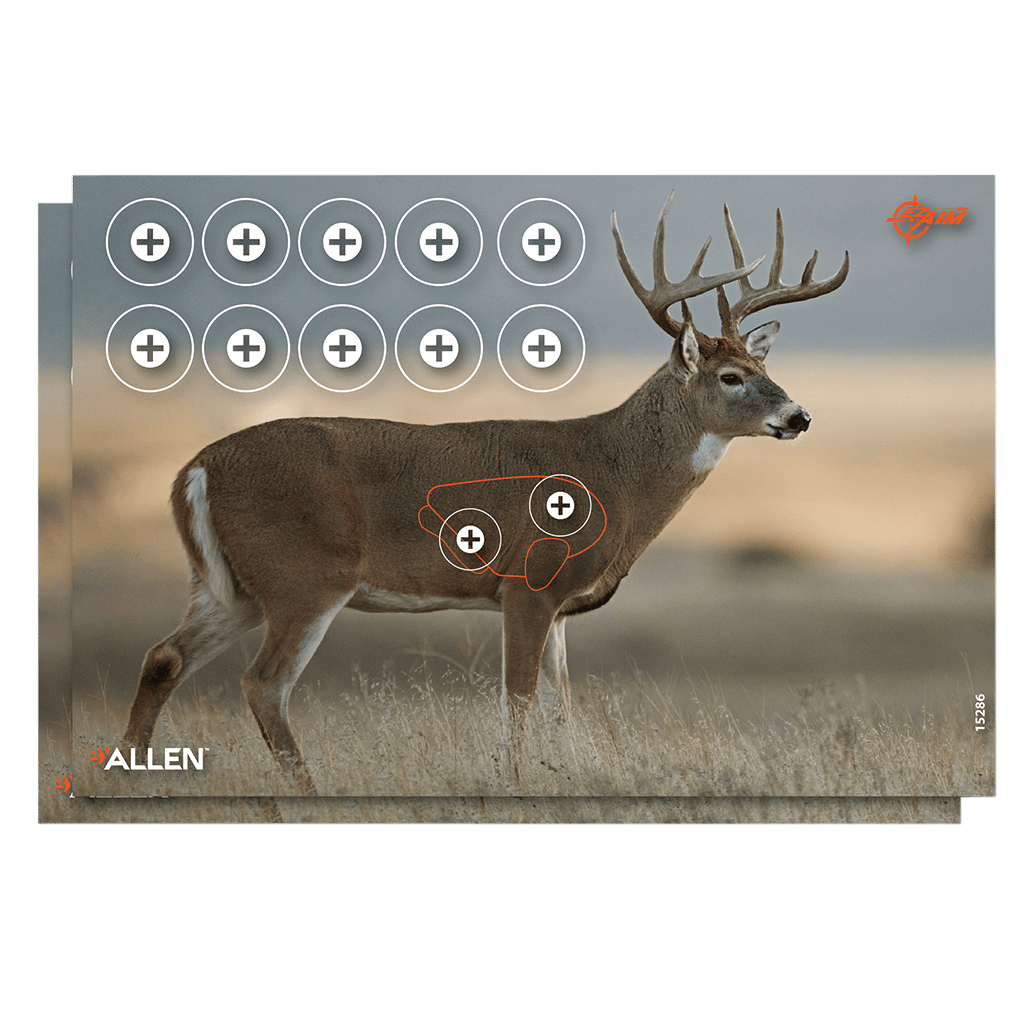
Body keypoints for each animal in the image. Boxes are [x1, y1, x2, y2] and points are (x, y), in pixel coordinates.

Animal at [122, 192, 849, 794]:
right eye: (730, 376)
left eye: (763, 366)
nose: (800, 417)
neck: (614, 472)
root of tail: (195, 468)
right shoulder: (529, 583)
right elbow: (518, 700)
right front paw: (513, 783)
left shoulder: (559, 607)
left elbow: (560, 708)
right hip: (304, 576)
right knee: (263, 683)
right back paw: (307, 794)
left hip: (232, 587)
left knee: (163, 656)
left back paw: (129, 780)